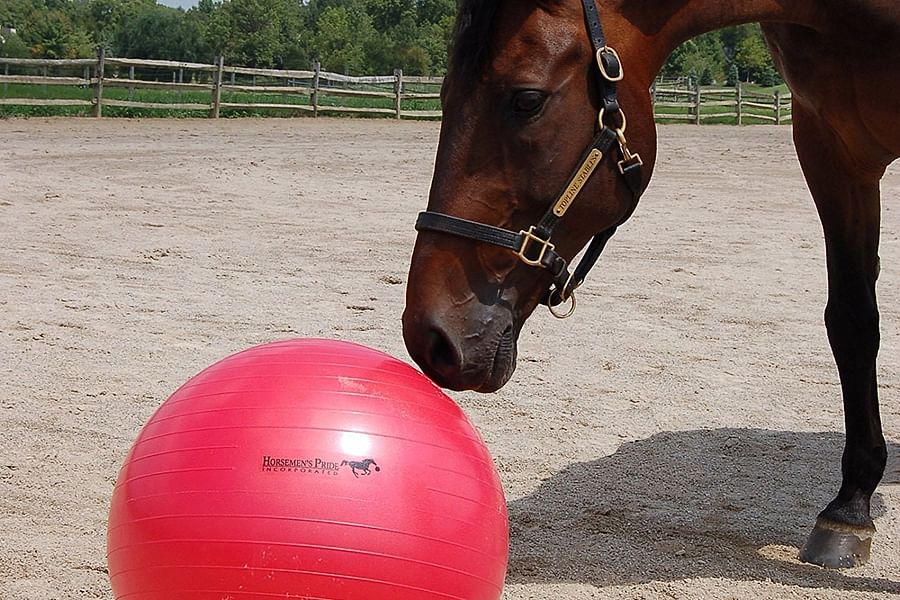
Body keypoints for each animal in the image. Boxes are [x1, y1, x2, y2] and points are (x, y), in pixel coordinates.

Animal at [402, 0, 899, 569]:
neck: (851, 17)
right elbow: (853, 322)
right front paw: (849, 508)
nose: (430, 337)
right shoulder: (832, 149)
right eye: (442, 94)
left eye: (527, 99)